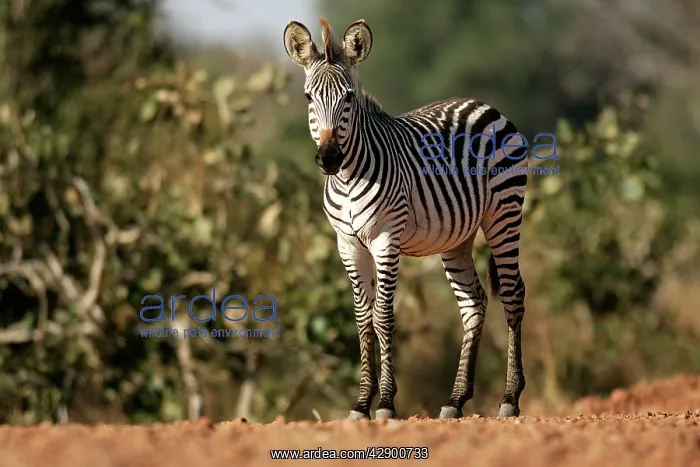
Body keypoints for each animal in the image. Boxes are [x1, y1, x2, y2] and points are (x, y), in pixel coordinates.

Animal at [283, 18, 528, 420]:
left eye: (348, 98)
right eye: (307, 98)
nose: (329, 158)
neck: (347, 178)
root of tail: (481, 104)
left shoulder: (386, 239)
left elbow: (383, 315)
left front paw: (385, 403)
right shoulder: (348, 245)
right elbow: (362, 319)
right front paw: (361, 403)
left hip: (504, 214)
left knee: (512, 292)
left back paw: (509, 398)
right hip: (456, 237)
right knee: (473, 304)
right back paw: (455, 400)